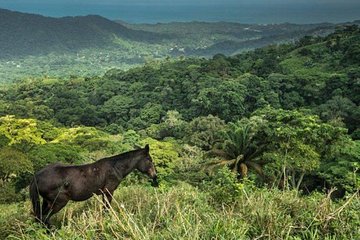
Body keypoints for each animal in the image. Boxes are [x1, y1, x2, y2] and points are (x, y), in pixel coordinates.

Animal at [28, 144, 158, 227]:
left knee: (39, 217)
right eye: (149, 159)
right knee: (44, 218)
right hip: (59, 202)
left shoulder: (104, 193)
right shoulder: (108, 191)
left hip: (47, 202)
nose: (154, 175)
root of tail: (36, 176)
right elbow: (107, 209)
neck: (115, 167)